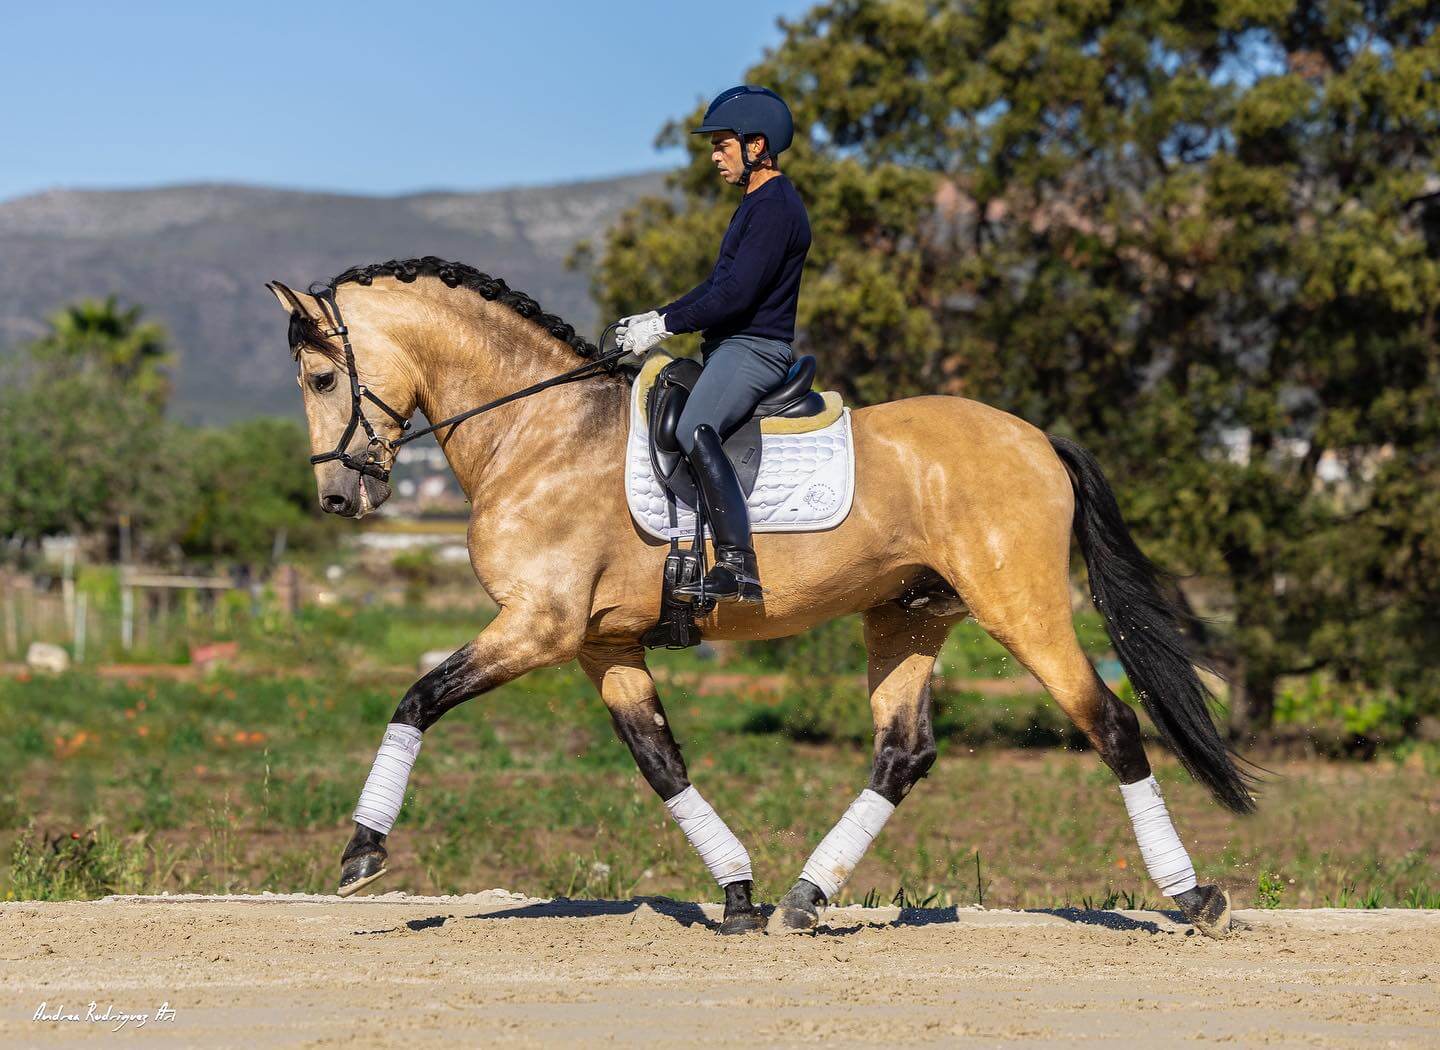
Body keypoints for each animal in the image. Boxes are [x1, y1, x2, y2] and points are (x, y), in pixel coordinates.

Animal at [266, 255, 1254, 938]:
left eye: (322, 379)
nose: (338, 498)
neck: (536, 432)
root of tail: (1038, 438)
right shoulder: (601, 644)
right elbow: (660, 761)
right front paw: (737, 892)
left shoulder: (538, 627)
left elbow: (419, 697)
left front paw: (362, 854)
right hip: (906, 619)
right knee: (902, 754)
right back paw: (802, 899)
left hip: (1021, 608)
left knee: (1110, 724)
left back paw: (1195, 898)